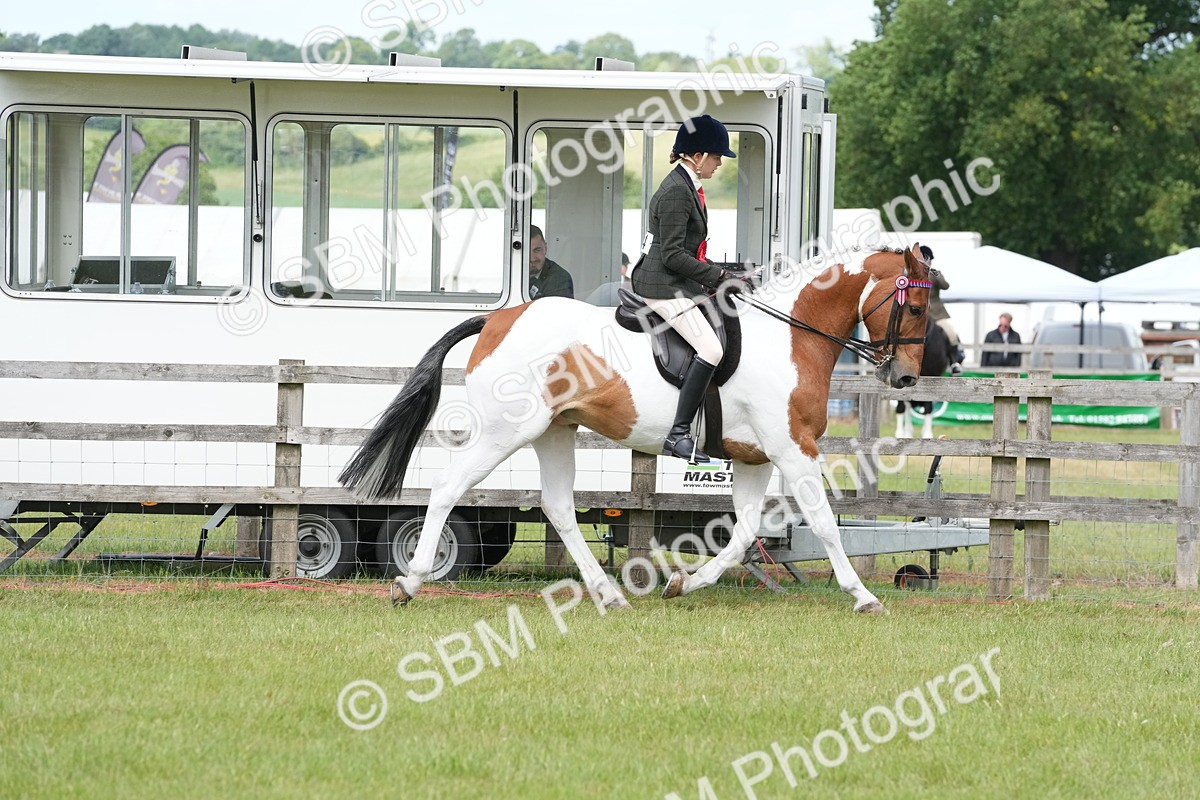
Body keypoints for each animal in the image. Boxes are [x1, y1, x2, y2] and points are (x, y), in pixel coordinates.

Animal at [339, 245, 933, 614]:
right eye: (917, 307)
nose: (906, 377)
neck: (789, 335)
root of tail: (500, 318)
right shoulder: (793, 448)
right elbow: (826, 523)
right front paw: (863, 596)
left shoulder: (754, 457)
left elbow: (744, 533)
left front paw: (683, 582)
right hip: (504, 433)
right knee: (447, 488)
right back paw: (409, 582)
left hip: (554, 431)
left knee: (558, 506)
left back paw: (609, 594)